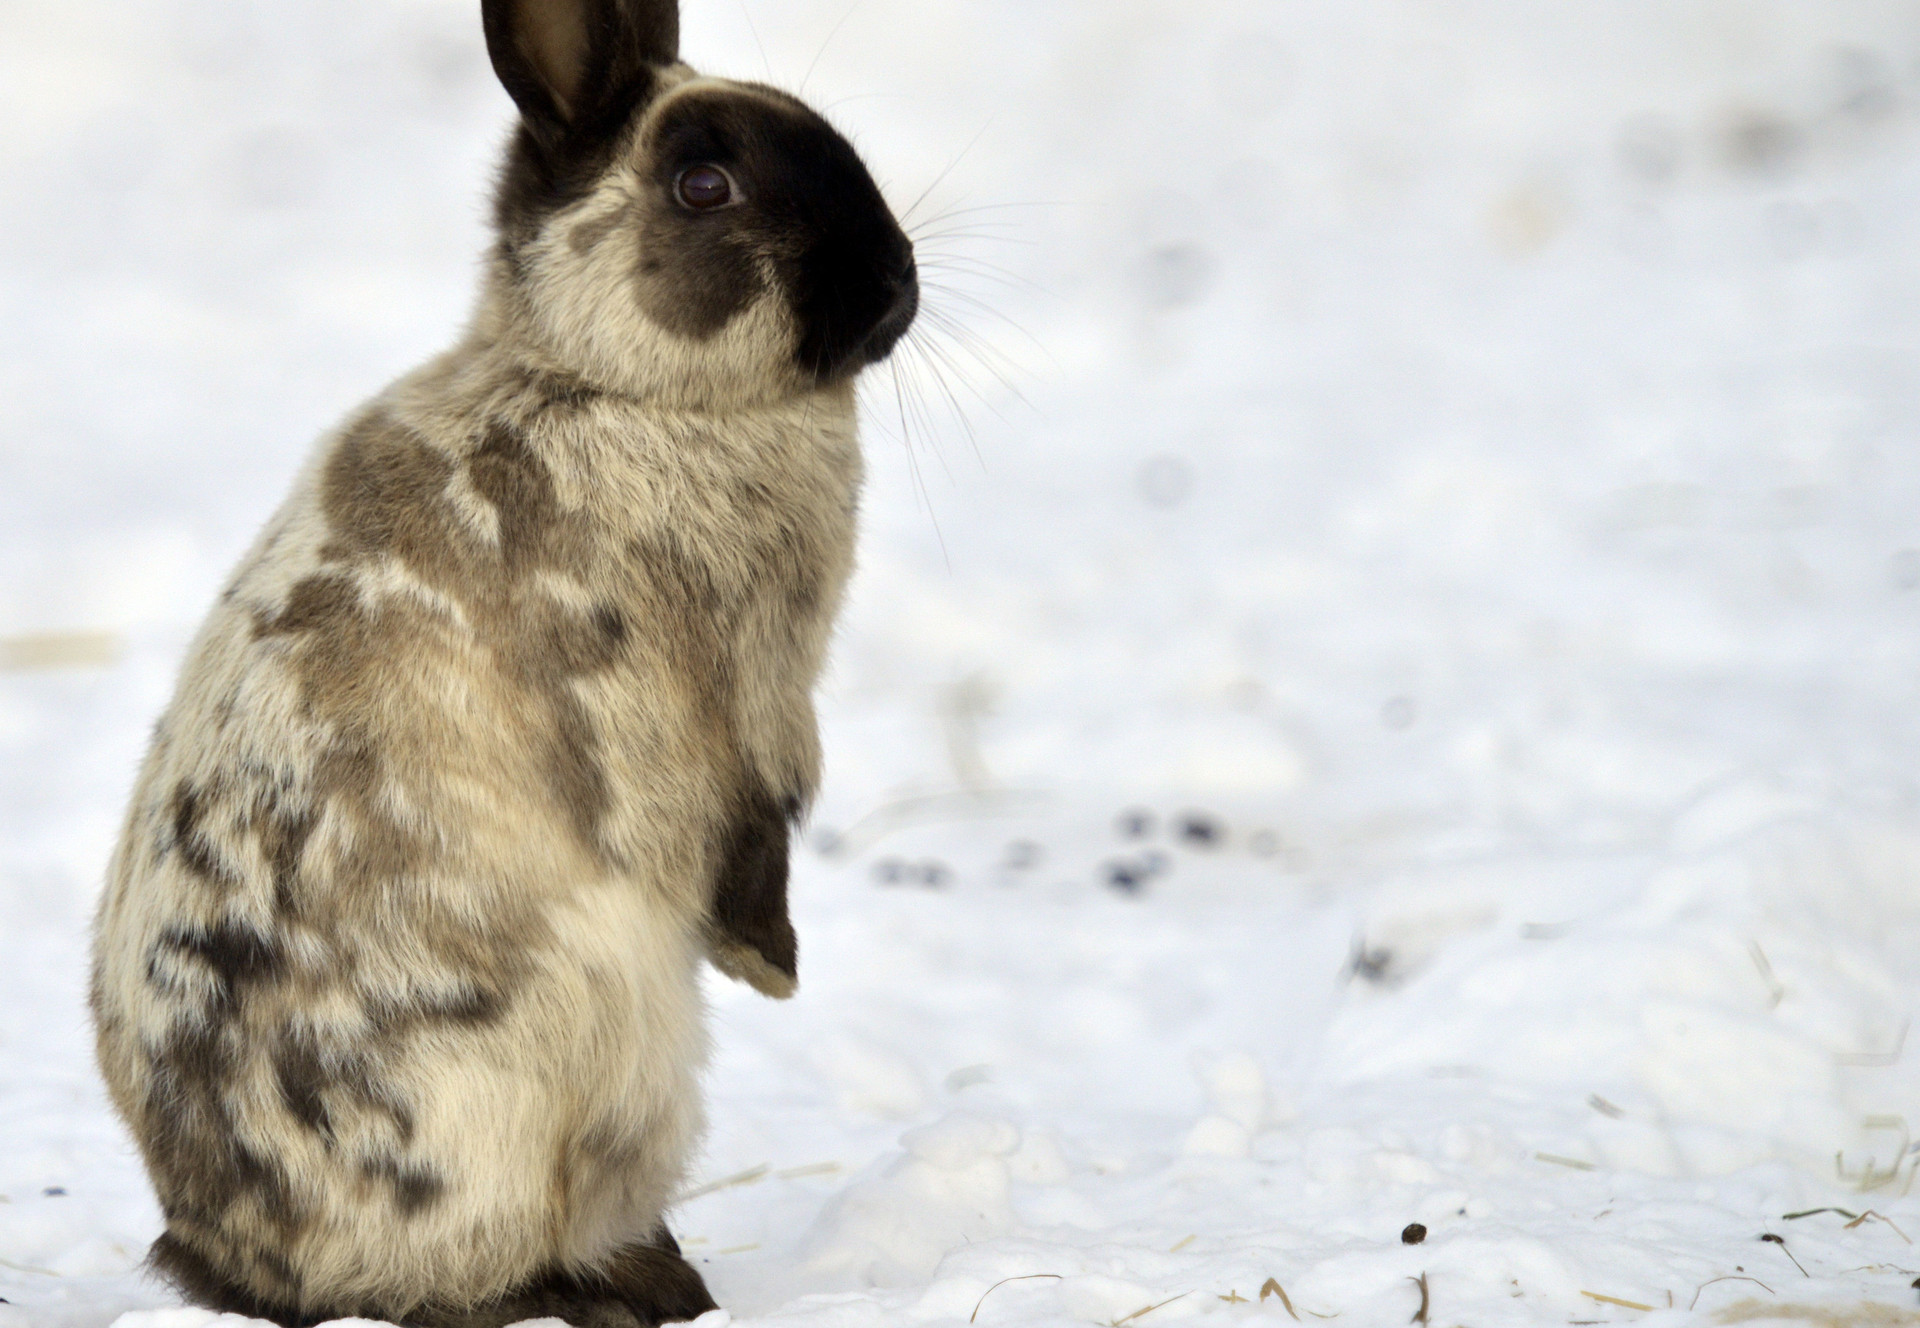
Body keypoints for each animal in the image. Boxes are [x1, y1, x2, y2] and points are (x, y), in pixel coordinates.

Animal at [88, 0, 918, 1323]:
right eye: (704, 184)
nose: (895, 285)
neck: (608, 386)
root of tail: (228, 1254)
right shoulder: (722, 707)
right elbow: (751, 838)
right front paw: (771, 968)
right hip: (589, 1052)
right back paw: (644, 1286)